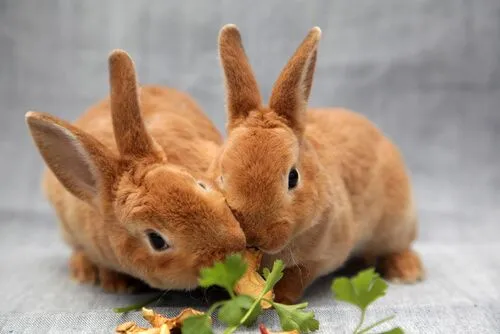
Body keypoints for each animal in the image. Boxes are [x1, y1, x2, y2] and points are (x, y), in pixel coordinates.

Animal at [209, 24, 424, 304]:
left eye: (293, 177)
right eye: (222, 177)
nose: (254, 236)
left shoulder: (321, 257)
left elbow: (296, 276)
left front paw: (281, 298)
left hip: (396, 224)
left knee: (399, 247)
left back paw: (406, 272)